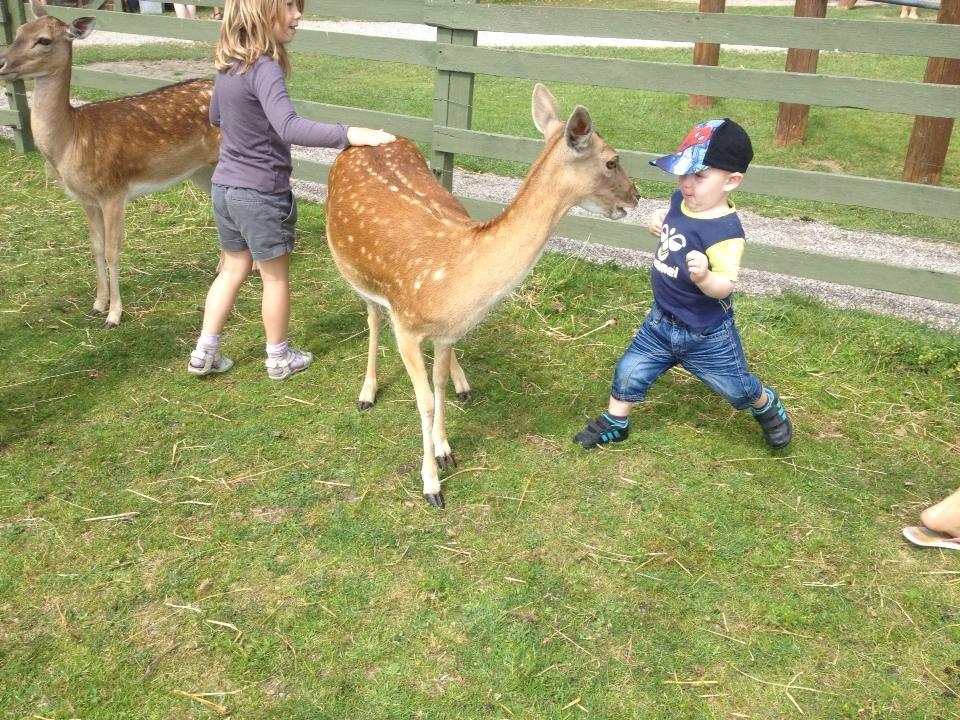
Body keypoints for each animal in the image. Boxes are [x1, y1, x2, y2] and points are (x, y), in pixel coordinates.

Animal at [0, 0, 219, 326]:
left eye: (44, 40)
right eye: (18, 32)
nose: (2, 63)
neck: (71, 140)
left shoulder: (114, 192)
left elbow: (114, 250)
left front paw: (114, 315)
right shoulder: (86, 199)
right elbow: (96, 247)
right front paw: (96, 305)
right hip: (202, 170)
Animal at [326, 83, 640, 506]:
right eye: (611, 161)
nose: (636, 196)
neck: (457, 277)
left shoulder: (446, 333)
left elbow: (439, 385)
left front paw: (445, 450)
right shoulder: (406, 325)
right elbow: (424, 401)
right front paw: (431, 485)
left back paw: (463, 384)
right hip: (352, 269)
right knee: (373, 316)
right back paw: (367, 391)